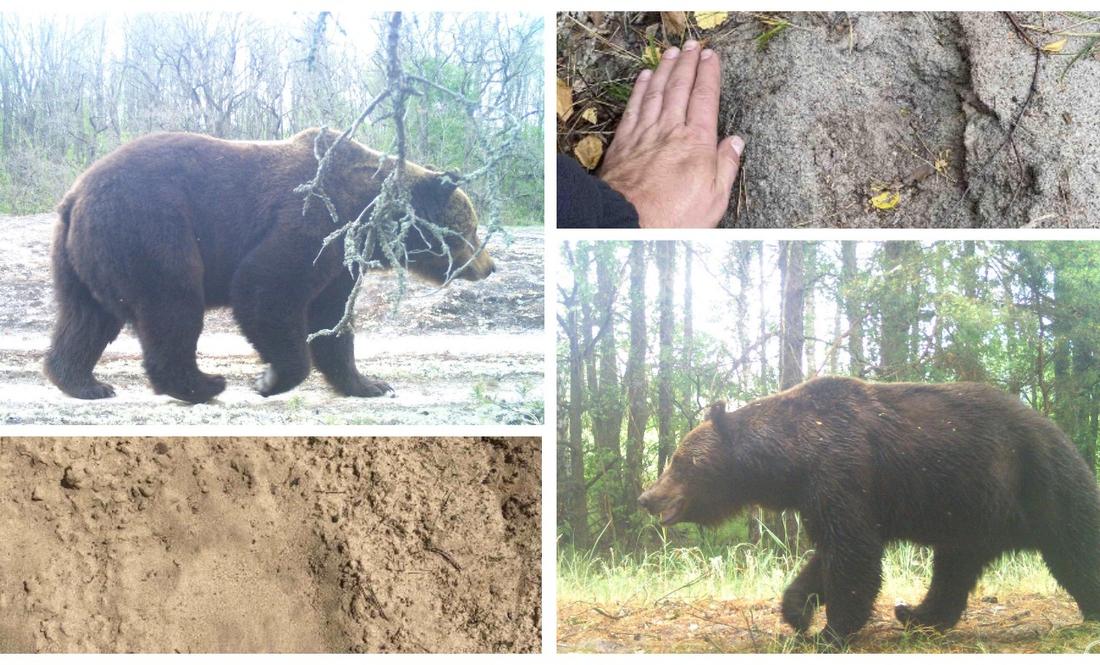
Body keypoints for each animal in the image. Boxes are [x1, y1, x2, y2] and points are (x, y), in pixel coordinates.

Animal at [40, 126, 492, 402]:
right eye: (471, 229)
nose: (489, 266)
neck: (366, 214)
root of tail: (75, 196)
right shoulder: (313, 221)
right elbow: (265, 286)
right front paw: (271, 378)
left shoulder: (340, 264)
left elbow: (333, 322)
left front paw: (371, 383)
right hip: (150, 228)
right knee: (171, 304)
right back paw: (202, 383)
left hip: (81, 256)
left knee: (84, 318)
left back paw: (84, 382)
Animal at [638, 375, 1100, 646]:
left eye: (679, 461)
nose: (646, 496)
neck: (793, 457)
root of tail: (1058, 432)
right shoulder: (819, 494)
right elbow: (828, 555)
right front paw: (798, 613)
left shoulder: (844, 471)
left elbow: (853, 557)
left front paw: (830, 632)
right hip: (972, 512)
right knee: (954, 569)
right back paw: (914, 614)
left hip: (1040, 483)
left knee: (1077, 547)